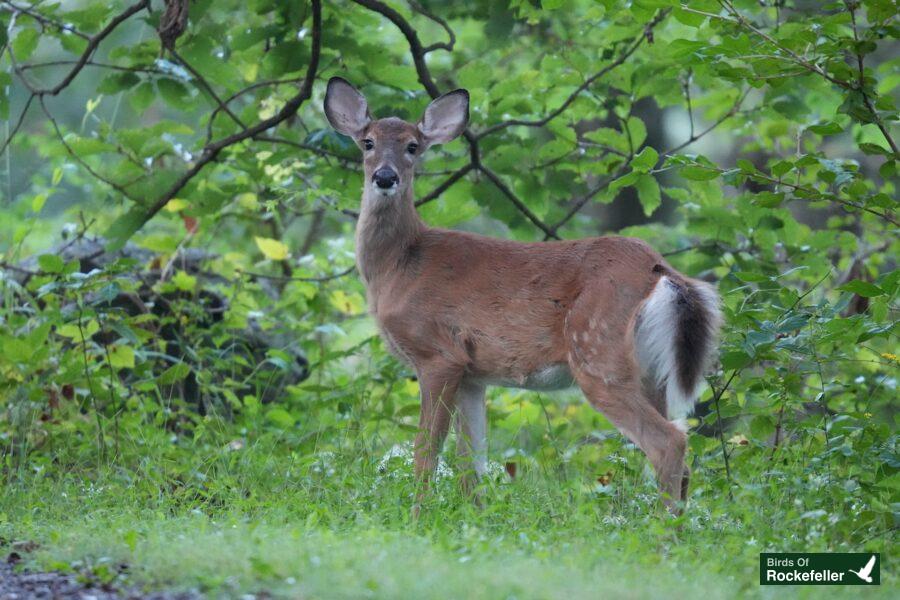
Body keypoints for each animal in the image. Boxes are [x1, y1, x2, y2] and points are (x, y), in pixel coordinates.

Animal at [324, 77, 724, 512]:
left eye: (413, 146)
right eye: (368, 142)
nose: (385, 177)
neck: (399, 266)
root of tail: (660, 270)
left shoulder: (437, 353)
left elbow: (426, 449)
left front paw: (417, 516)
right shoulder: (472, 372)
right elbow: (471, 461)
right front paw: (472, 517)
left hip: (596, 351)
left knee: (670, 440)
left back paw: (662, 526)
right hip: (651, 370)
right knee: (681, 442)